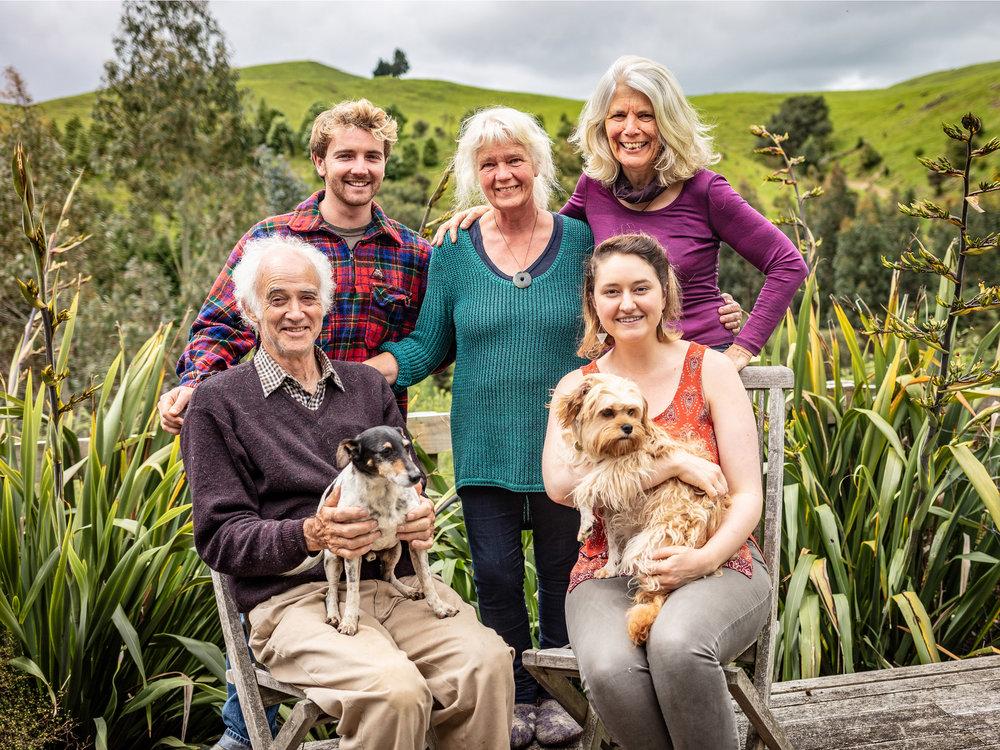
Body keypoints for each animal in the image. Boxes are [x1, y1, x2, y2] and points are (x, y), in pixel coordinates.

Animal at [288, 428, 458, 636]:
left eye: (407, 447)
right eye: (385, 452)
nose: (417, 476)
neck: (383, 491)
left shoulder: (416, 540)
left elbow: (426, 579)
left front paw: (440, 608)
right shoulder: (351, 549)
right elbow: (353, 592)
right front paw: (349, 622)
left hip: (395, 550)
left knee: (387, 575)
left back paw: (407, 590)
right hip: (333, 560)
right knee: (331, 592)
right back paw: (334, 615)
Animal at [556, 374, 728, 648]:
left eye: (631, 412)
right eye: (607, 412)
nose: (628, 428)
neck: (611, 450)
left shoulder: (630, 465)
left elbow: (588, 483)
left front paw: (585, 519)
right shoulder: (613, 508)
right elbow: (612, 540)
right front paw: (609, 564)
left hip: (649, 543)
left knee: (654, 585)